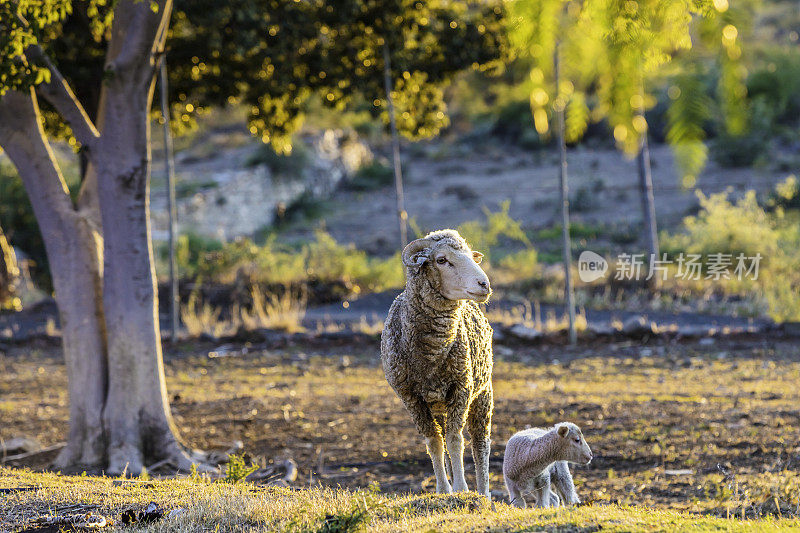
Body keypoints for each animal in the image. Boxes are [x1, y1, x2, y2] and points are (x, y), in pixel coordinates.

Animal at [380, 231, 494, 496]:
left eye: (470, 255)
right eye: (442, 259)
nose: (484, 284)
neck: (430, 356)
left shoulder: (462, 389)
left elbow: (455, 441)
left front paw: (461, 488)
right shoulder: (411, 398)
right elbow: (434, 443)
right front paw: (443, 489)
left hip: (483, 393)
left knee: (480, 444)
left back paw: (483, 492)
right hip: (439, 406)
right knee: (444, 439)